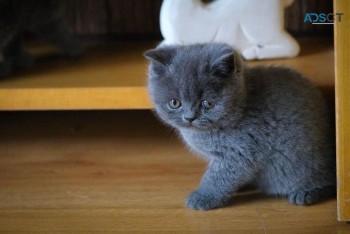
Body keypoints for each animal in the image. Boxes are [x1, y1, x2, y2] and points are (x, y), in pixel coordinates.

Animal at [145, 43, 336, 210]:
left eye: (208, 104)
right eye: (174, 103)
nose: (189, 118)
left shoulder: (240, 151)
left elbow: (217, 177)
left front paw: (203, 197)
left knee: (329, 181)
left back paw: (307, 194)